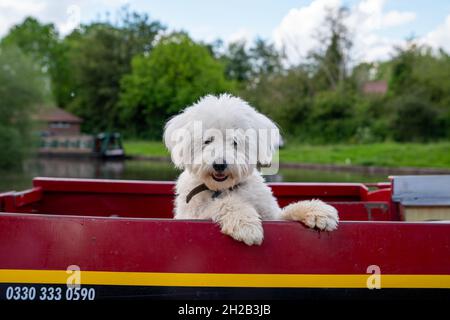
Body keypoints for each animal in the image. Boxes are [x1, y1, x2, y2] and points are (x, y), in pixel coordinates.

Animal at [164, 94, 338, 245]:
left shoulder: (272, 216)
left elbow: (287, 211)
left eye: (235, 142)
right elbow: (225, 204)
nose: (219, 164)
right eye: (207, 140)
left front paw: (317, 211)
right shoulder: (193, 215)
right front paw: (245, 223)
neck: (223, 189)